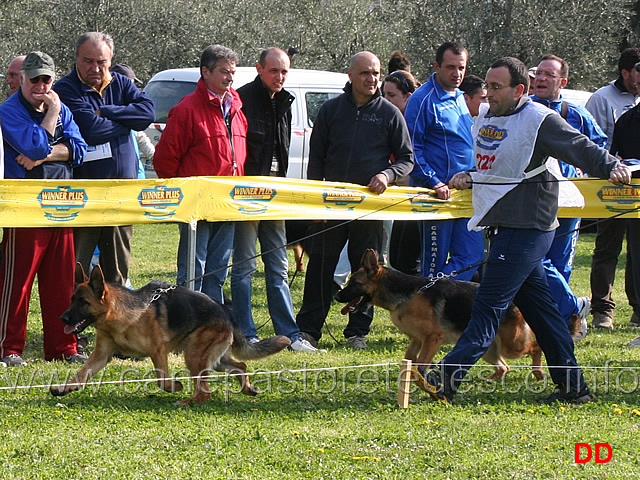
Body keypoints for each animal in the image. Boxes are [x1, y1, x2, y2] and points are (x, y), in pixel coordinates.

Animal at [51, 262, 292, 404]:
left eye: (83, 302)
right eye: (72, 299)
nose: (63, 318)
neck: (120, 316)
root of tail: (225, 311)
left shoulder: (158, 352)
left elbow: (162, 380)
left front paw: (175, 386)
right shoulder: (101, 356)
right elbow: (81, 374)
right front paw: (64, 388)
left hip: (194, 356)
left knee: (205, 391)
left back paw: (186, 402)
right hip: (212, 359)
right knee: (240, 366)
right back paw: (247, 389)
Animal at [336, 249, 544, 380]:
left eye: (355, 283)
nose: (336, 296)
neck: (408, 294)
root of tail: (515, 301)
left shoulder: (432, 339)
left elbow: (421, 364)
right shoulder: (417, 340)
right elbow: (410, 360)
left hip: (512, 346)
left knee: (535, 346)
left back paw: (538, 371)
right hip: (488, 349)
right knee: (504, 367)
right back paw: (490, 381)